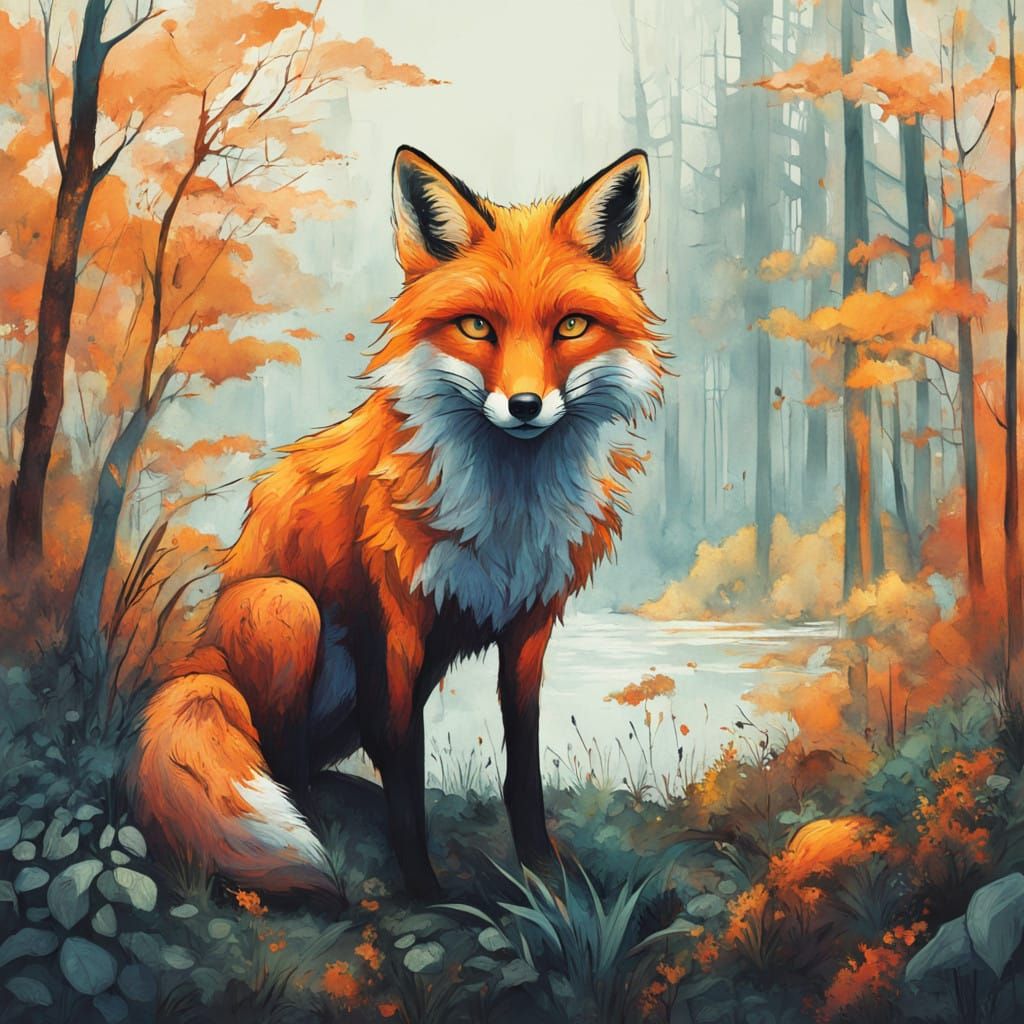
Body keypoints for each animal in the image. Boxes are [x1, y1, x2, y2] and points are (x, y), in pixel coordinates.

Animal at [131, 146, 665, 902]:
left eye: (570, 326)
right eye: (477, 327)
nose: (525, 406)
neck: (506, 515)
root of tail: (193, 659)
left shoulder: (528, 627)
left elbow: (523, 766)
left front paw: (543, 870)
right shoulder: (398, 624)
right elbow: (406, 770)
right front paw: (426, 890)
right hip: (285, 609)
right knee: (282, 757)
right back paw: (316, 831)